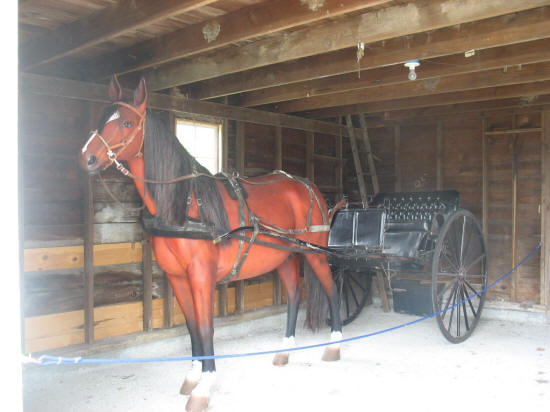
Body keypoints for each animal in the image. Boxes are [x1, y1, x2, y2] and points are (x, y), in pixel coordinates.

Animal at [79, 76, 343, 411]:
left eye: (126, 122)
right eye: (102, 117)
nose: (86, 157)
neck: (186, 205)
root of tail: (307, 186)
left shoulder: (201, 276)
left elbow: (206, 327)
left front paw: (204, 387)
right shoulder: (177, 278)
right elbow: (192, 326)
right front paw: (193, 376)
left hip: (314, 254)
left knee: (331, 290)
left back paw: (334, 346)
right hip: (284, 257)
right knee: (296, 295)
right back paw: (285, 350)